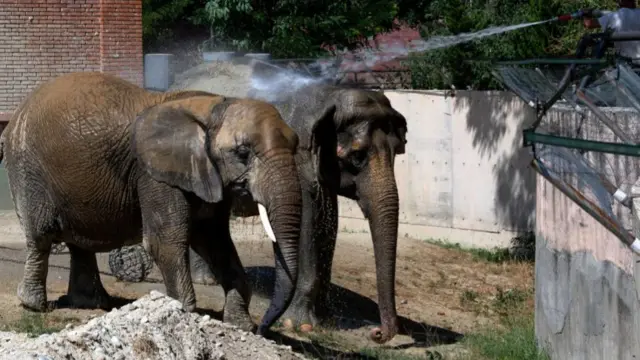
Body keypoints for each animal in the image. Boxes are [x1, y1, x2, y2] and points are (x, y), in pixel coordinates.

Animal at [0, 71, 304, 336]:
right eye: (242, 153)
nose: (265, 328)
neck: (211, 108)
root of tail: (13, 120)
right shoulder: (153, 175)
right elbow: (166, 242)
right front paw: (183, 315)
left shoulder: (207, 176)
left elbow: (216, 243)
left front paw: (240, 326)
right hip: (28, 168)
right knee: (41, 236)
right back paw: (35, 305)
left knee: (79, 242)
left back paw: (91, 304)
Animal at [188, 79, 408, 344]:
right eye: (357, 157)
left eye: (397, 152)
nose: (376, 333)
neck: (330, 97)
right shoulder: (299, 160)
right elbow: (307, 227)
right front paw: (299, 325)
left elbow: (328, 225)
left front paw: (325, 320)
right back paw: (205, 280)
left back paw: (207, 278)